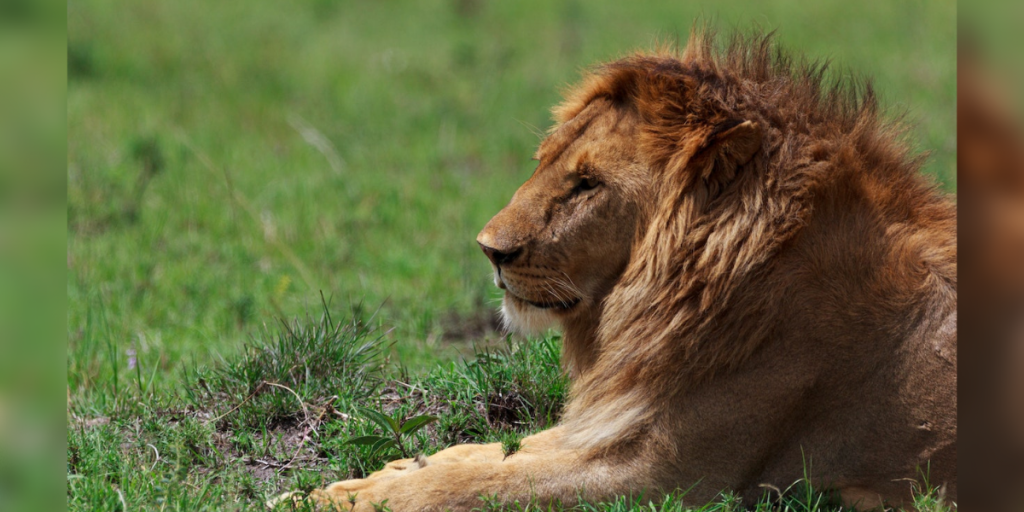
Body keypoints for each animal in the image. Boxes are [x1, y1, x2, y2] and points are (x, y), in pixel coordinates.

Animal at [278, 29, 950, 509]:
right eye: (543, 160)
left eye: (587, 184)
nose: (489, 250)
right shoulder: (613, 419)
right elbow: (488, 454)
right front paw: (370, 476)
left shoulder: (665, 476)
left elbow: (486, 484)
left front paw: (338, 498)